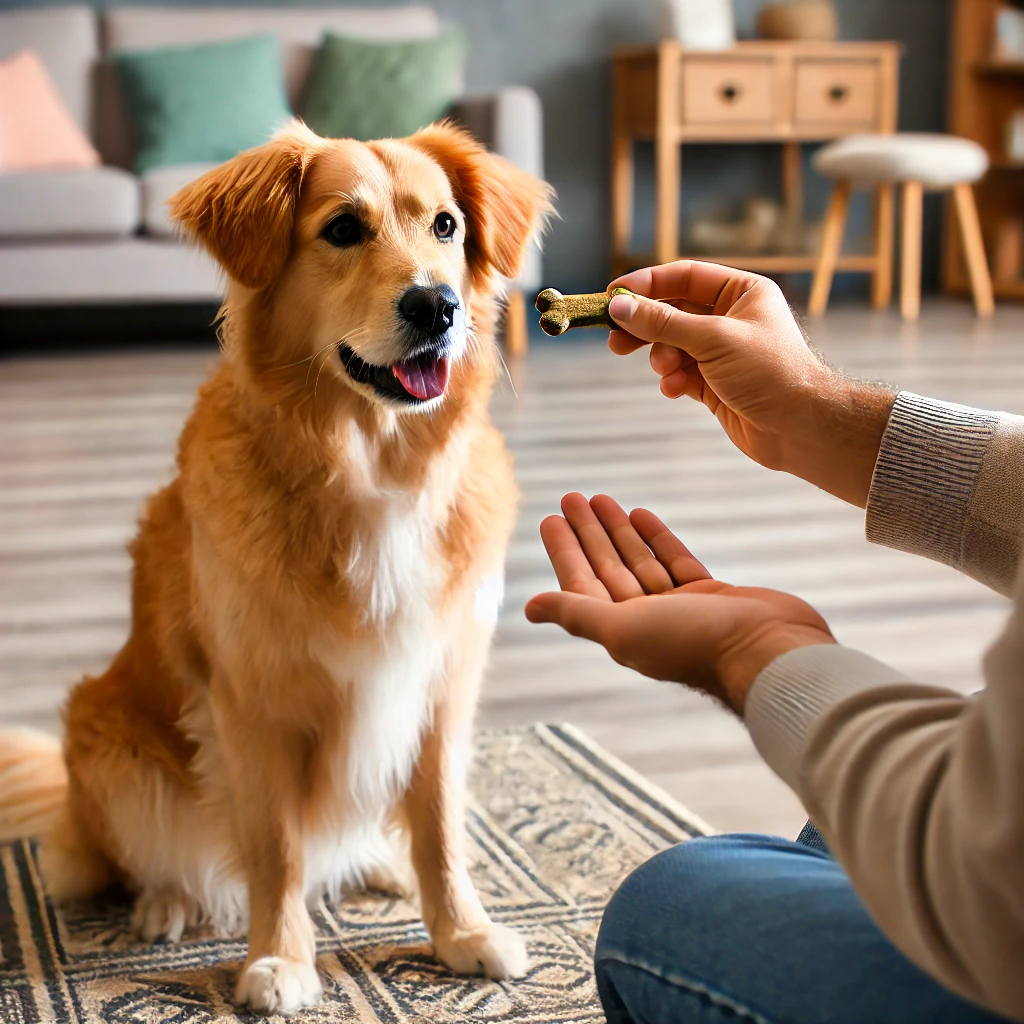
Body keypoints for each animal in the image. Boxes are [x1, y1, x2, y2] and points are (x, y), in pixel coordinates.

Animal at [0, 119, 552, 1015]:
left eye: (446, 226)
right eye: (343, 229)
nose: (437, 305)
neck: (370, 464)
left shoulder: (442, 685)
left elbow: (440, 824)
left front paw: (460, 932)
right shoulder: (253, 706)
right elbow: (279, 851)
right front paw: (282, 960)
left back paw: (381, 866)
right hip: (111, 746)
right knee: (147, 859)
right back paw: (167, 903)